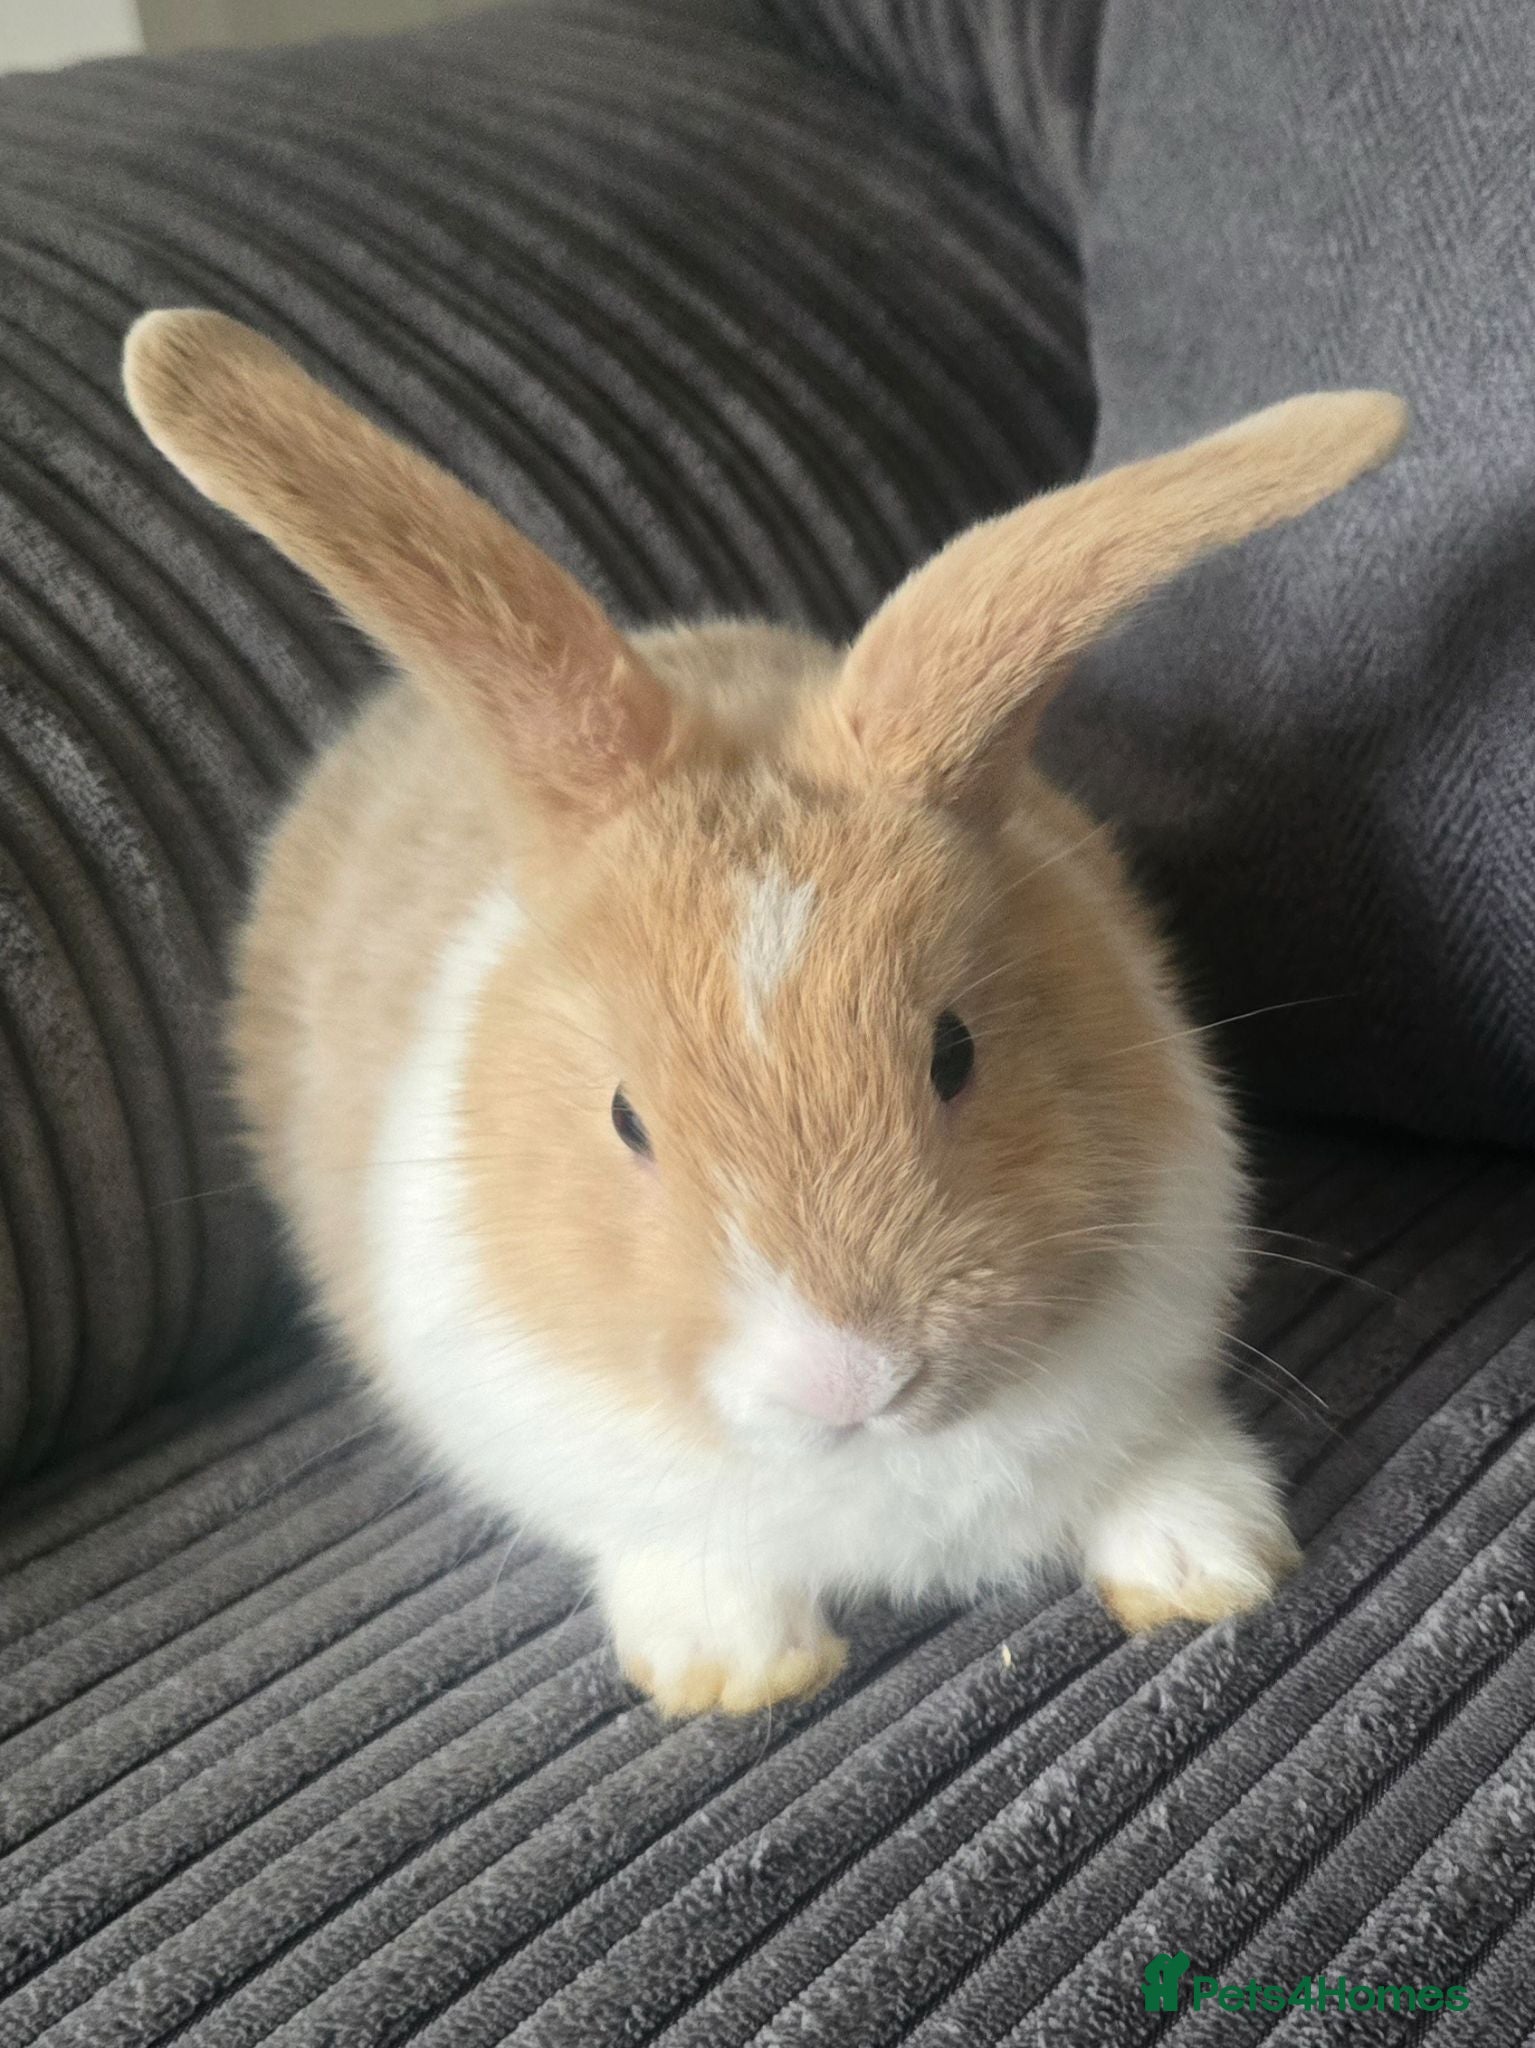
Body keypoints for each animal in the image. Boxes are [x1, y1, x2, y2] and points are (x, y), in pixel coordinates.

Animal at [123, 310, 1405, 1716]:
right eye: (624, 1117)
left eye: (954, 1051)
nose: (845, 1373)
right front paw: (736, 1674)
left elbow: (1164, 1471)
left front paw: (1209, 1570)